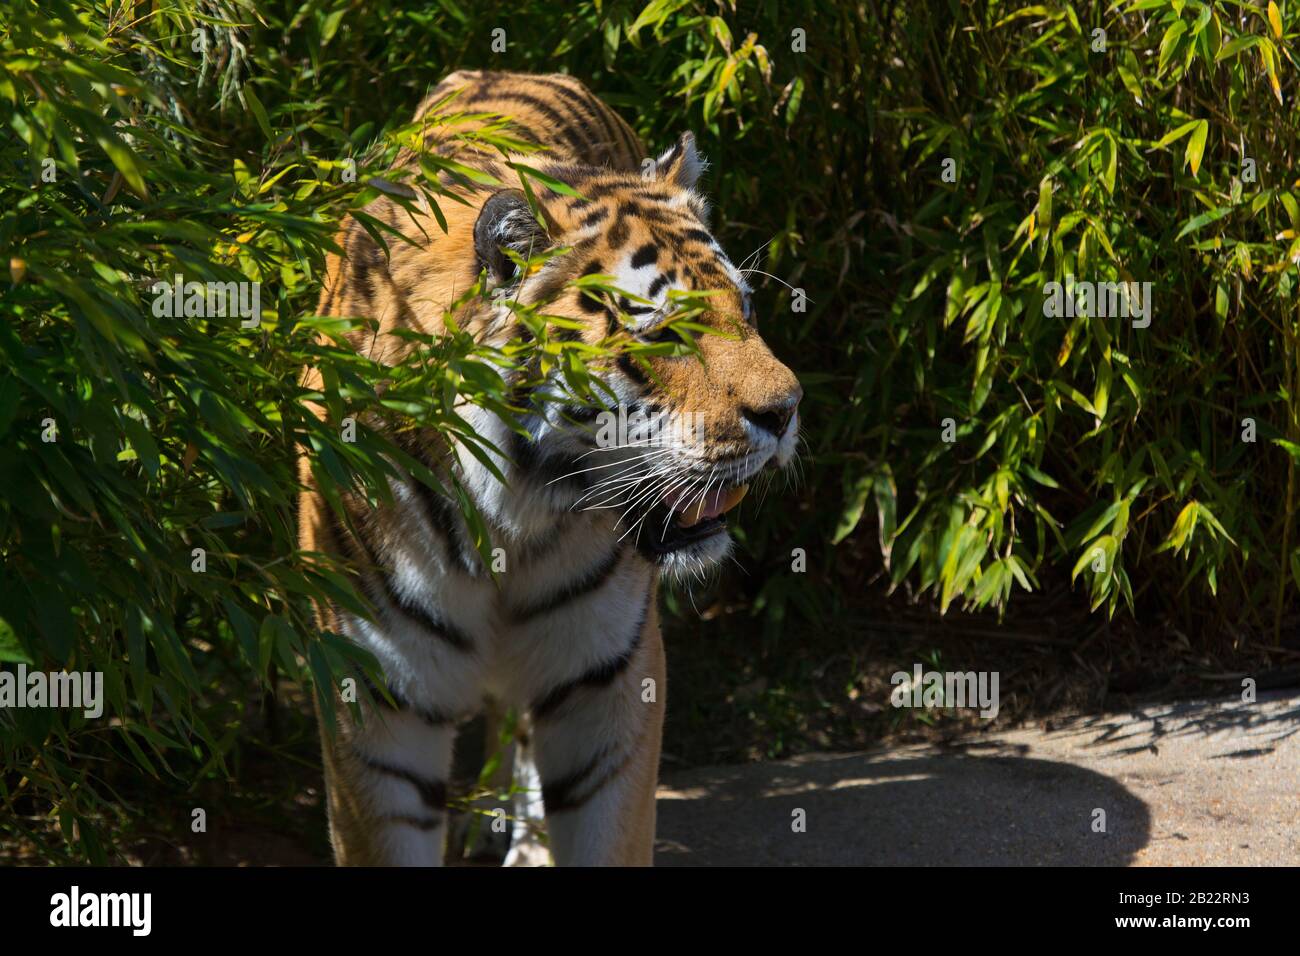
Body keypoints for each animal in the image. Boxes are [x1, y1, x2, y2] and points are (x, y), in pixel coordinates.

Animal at [299, 72, 800, 868]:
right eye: (666, 334)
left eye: (744, 310)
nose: (786, 412)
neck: (511, 517)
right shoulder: (376, 695)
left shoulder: (606, 677)